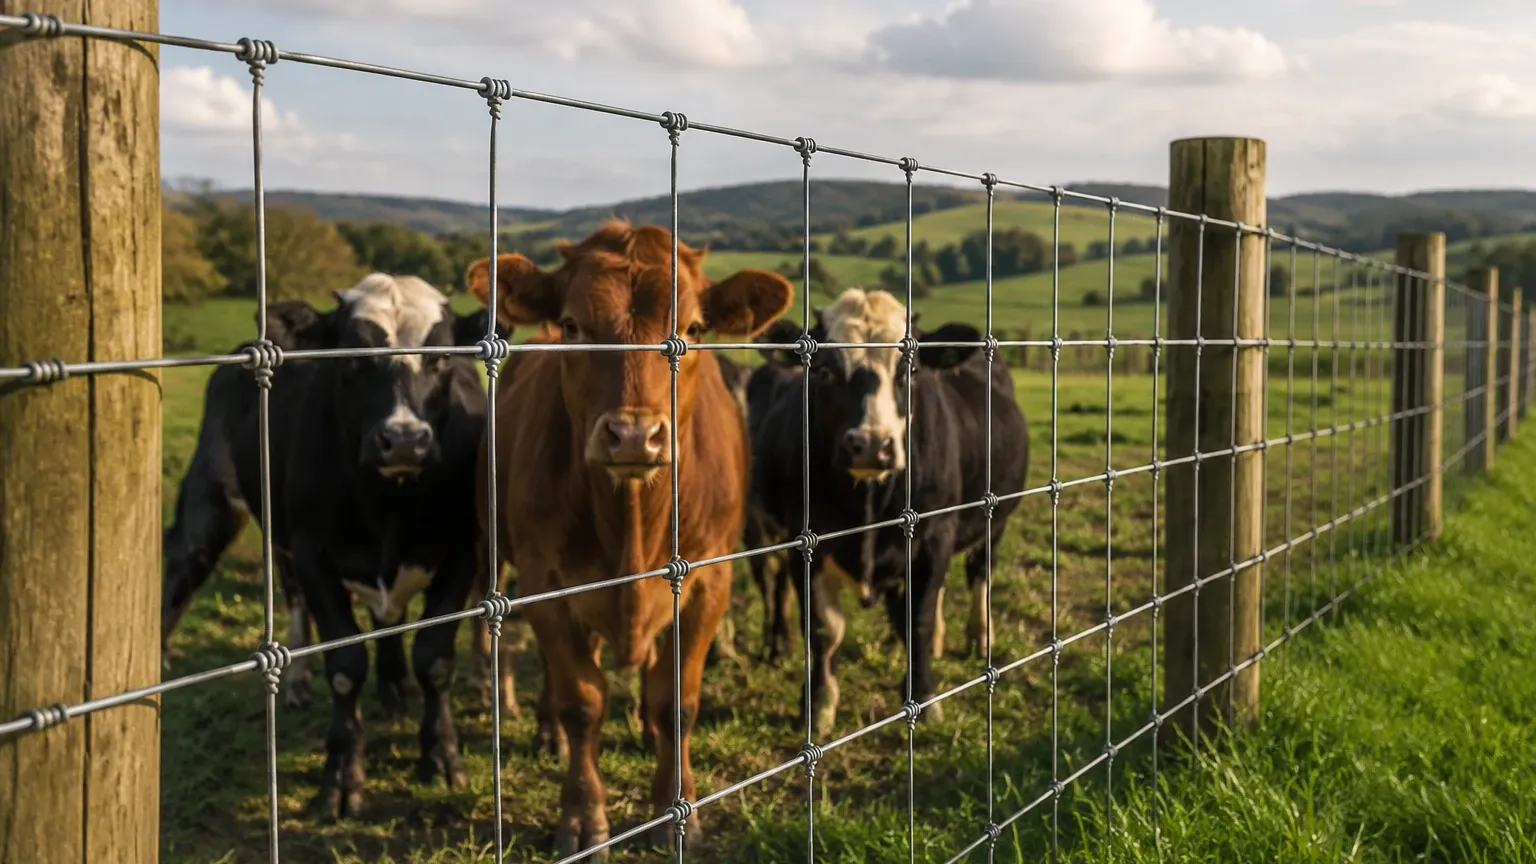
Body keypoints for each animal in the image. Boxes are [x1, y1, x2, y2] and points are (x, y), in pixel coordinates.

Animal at [467, 219, 793, 856]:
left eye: (693, 329)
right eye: (573, 325)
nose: (634, 435)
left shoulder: (710, 580)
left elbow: (677, 702)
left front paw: (675, 806)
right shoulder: (546, 582)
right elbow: (582, 700)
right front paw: (582, 815)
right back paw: (548, 731)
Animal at [749, 287, 1028, 737]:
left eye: (910, 371)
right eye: (823, 371)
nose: (870, 445)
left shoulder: (935, 533)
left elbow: (918, 619)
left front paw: (924, 696)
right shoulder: (804, 542)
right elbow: (825, 628)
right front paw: (818, 704)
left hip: (993, 520)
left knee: (979, 574)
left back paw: (978, 636)